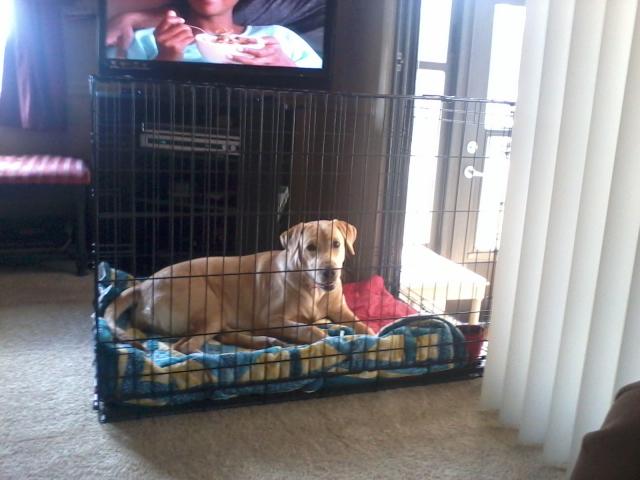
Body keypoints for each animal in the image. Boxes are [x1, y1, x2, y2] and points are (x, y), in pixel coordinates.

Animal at [105, 220, 376, 352]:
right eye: (310, 248)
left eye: (336, 244)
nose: (329, 272)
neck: (313, 290)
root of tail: (143, 286)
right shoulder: (271, 318)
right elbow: (310, 330)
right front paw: (322, 337)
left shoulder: (341, 310)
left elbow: (362, 325)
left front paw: (373, 338)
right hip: (209, 303)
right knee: (185, 347)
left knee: (222, 336)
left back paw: (266, 343)